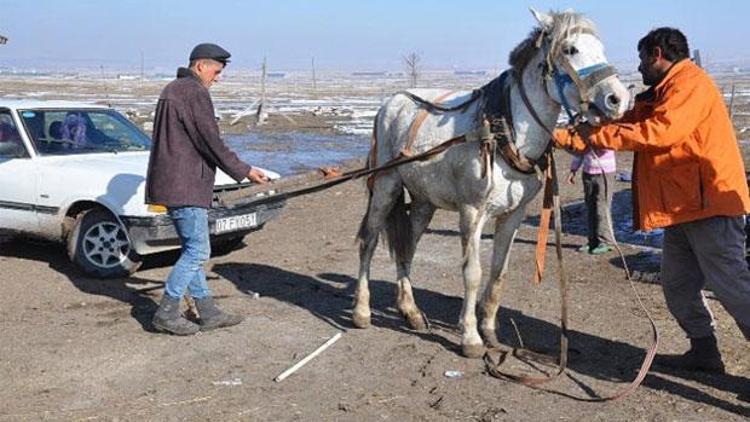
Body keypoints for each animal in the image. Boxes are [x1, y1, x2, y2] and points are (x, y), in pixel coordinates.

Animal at [356, 8, 632, 358]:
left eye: (601, 48)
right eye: (571, 49)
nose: (618, 98)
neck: (503, 132)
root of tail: (390, 104)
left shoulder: (513, 215)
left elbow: (499, 270)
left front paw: (488, 330)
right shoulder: (472, 212)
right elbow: (472, 273)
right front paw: (471, 337)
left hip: (423, 202)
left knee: (408, 248)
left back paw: (411, 311)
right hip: (386, 187)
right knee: (369, 241)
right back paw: (361, 311)